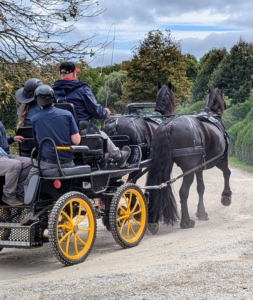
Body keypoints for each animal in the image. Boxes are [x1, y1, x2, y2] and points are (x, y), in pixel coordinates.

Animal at [146, 88, 231, 233]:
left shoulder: (199, 167)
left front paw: (202, 213)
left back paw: (153, 220)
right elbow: (227, 173)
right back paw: (186, 222)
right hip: (189, 171)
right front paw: (226, 196)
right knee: (183, 192)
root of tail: (169, 125)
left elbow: (201, 188)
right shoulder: (221, 159)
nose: (225, 105)